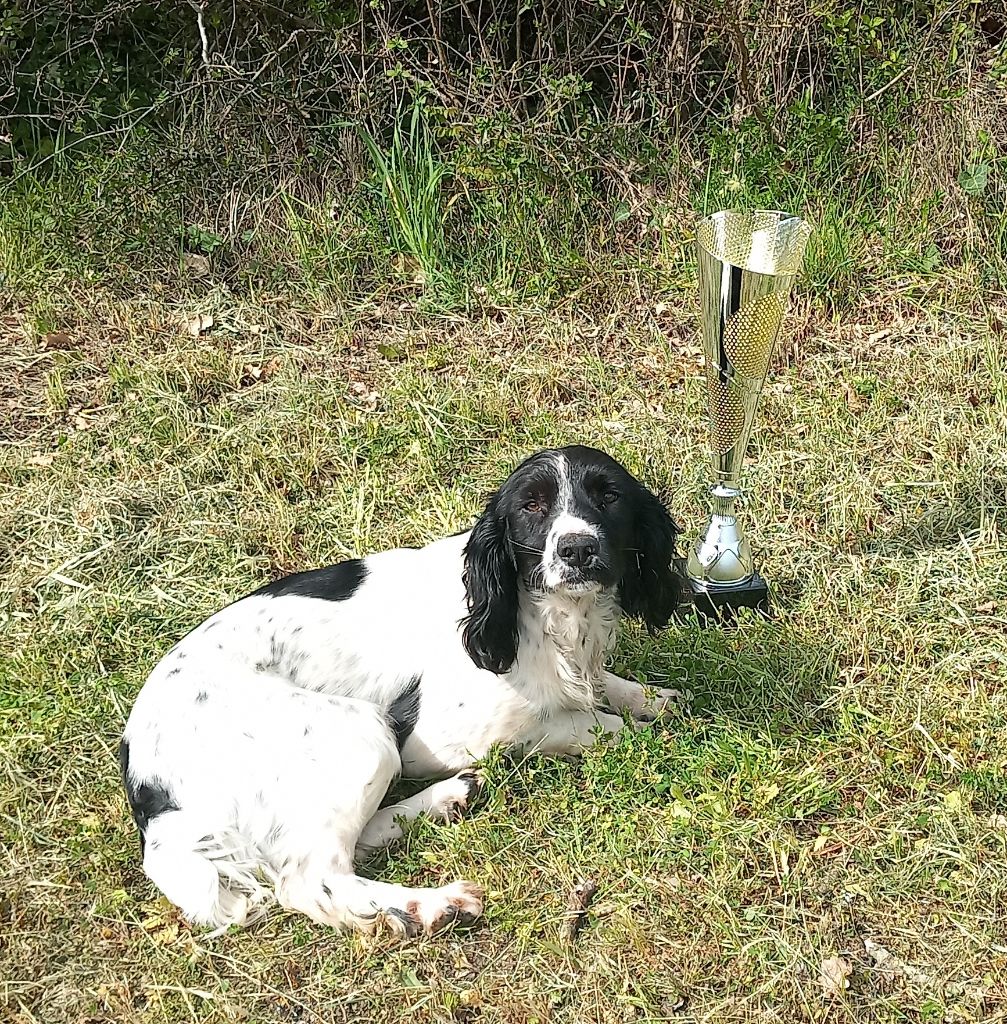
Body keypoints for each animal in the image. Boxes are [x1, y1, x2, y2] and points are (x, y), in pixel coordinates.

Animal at [118, 442, 684, 937]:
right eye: (532, 506)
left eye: (609, 496)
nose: (577, 549)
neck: (538, 613)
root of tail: (146, 776)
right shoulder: (448, 737)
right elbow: (588, 723)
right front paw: (641, 727)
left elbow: (605, 688)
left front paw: (652, 698)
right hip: (361, 732)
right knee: (310, 878)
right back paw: (430, 904)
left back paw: (447, 799)